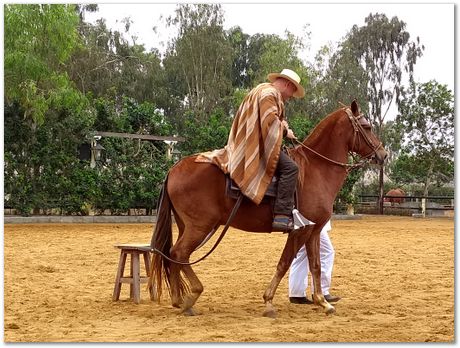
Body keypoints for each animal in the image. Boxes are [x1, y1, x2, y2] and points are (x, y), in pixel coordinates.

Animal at [151, 99, 388, 316]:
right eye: (367, 127)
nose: (383, 154)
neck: (316, 169)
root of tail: (174, 169)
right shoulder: (300, 231)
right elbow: (284, 263)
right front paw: (269, 301)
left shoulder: (314, 231)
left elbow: (316, 265)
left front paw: (322, 301)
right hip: (200, 227)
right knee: (179, 253)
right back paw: (191, 295)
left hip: (188, 226)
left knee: (174, 255)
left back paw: (178, 299)